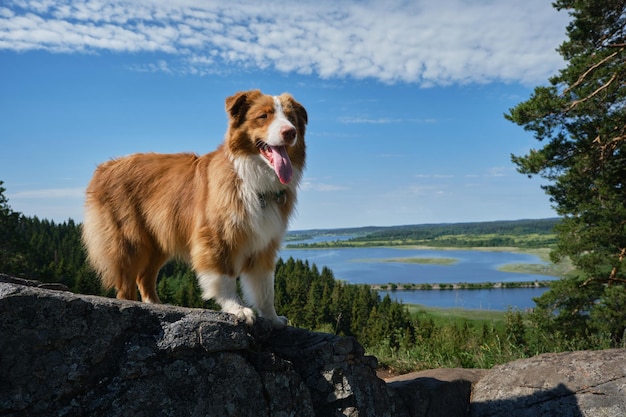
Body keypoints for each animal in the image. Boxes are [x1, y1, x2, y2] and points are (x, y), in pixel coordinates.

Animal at [81, 90, 306, 328]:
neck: (251, 178)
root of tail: (105, 167)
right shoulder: (216, 237)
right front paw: (237, 308)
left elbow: (265, 288)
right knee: (126, 287)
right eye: (263, 116)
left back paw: (158, 304)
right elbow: (225, 278)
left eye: (291, 119)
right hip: (130, 242)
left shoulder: (265, 243)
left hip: (158, 240)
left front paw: (273, 318)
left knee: (144, 277)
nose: (290, 132)